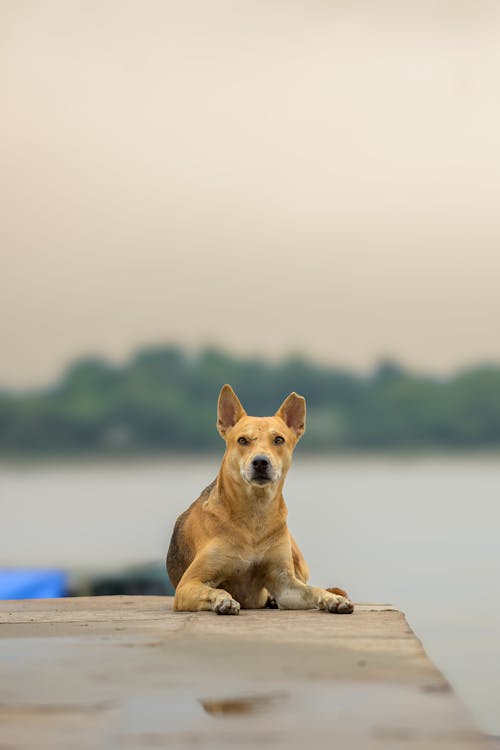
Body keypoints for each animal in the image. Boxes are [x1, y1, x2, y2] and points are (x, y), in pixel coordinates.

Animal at [166, 388, 354, 616]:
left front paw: (332, 599)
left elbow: (313, 589)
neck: (254, 514)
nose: (261, 462)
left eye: (279, 440)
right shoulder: (188, 584)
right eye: (242, 440)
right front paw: (224, 600)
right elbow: (214, 590)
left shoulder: (285, 584)